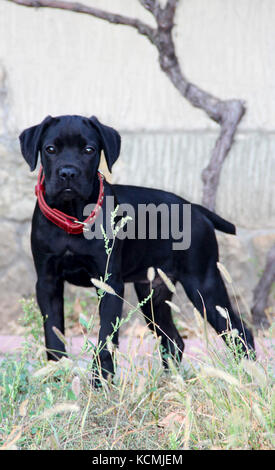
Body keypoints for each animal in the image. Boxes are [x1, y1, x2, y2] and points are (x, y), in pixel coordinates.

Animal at [20, 114, 256, 382]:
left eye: (89, 150)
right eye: (50, 149)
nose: (68, 172)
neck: (72, 216)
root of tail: (195, 208)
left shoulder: (110, 283)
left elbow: (105, 339)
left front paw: (101, 383)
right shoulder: (47, 283)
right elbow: (53, 336)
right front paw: (56, 378)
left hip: (204, 285)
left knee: (240, 333)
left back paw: (248, 379)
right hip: (154, 293)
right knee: (173, 341)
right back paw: (170, 382)